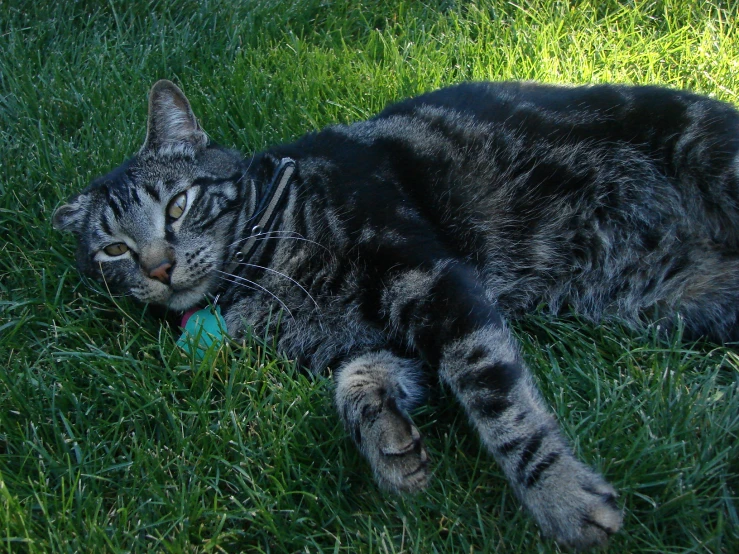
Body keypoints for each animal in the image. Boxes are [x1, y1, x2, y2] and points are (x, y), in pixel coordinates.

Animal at [53, 77, 739, 548]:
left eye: (178, 205)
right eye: (114, 250)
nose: (157, 268)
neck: (261, 278)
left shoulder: (431, 280)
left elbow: (500, 404)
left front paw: (561, 496)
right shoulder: (376, 342)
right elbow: (353, 382)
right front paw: (387, 440)